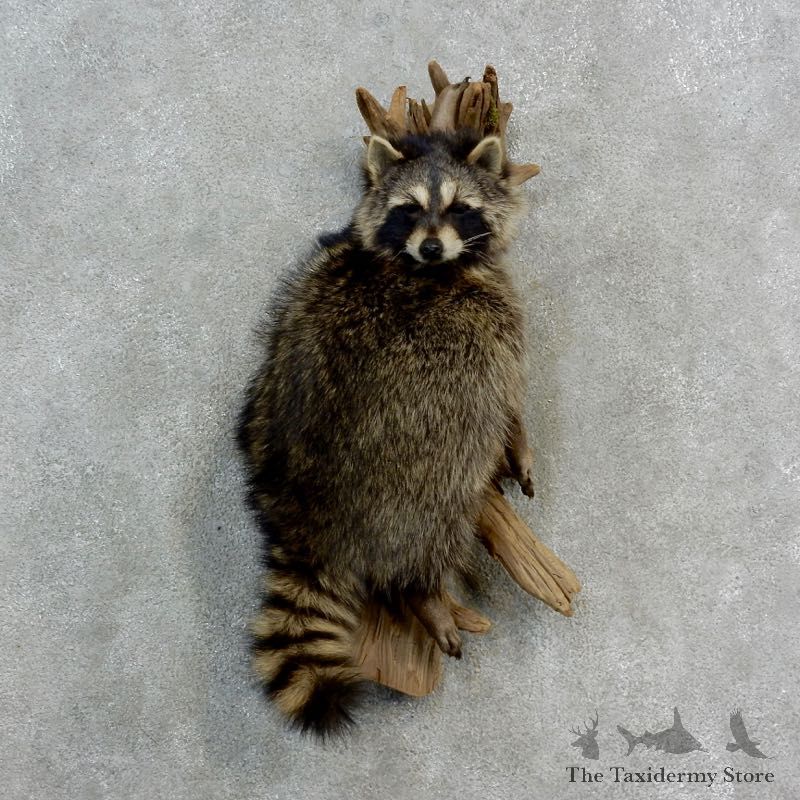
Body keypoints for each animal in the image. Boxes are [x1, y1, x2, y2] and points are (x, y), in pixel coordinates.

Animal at [237, 129, 535, 735]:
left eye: (461, 208)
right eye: (409, 210)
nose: (430, 248)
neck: (428, 269)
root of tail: (307, 521)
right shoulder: (494, 322)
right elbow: (507, 394)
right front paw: (518, 440)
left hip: (261, 411)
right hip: (419, 479)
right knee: (439, 517)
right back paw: (423, 594)